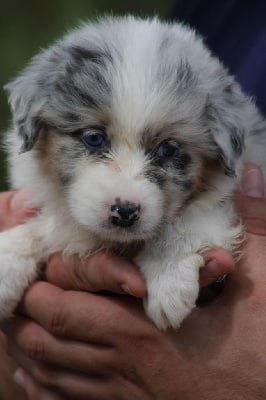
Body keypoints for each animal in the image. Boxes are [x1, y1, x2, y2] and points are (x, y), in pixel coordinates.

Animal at [2, 15, 266, 330]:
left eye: (168, 148)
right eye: (94, 138)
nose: (125, 211)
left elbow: (189, 223)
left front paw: (168, 283)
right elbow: (45, 228)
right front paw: (7, 264)